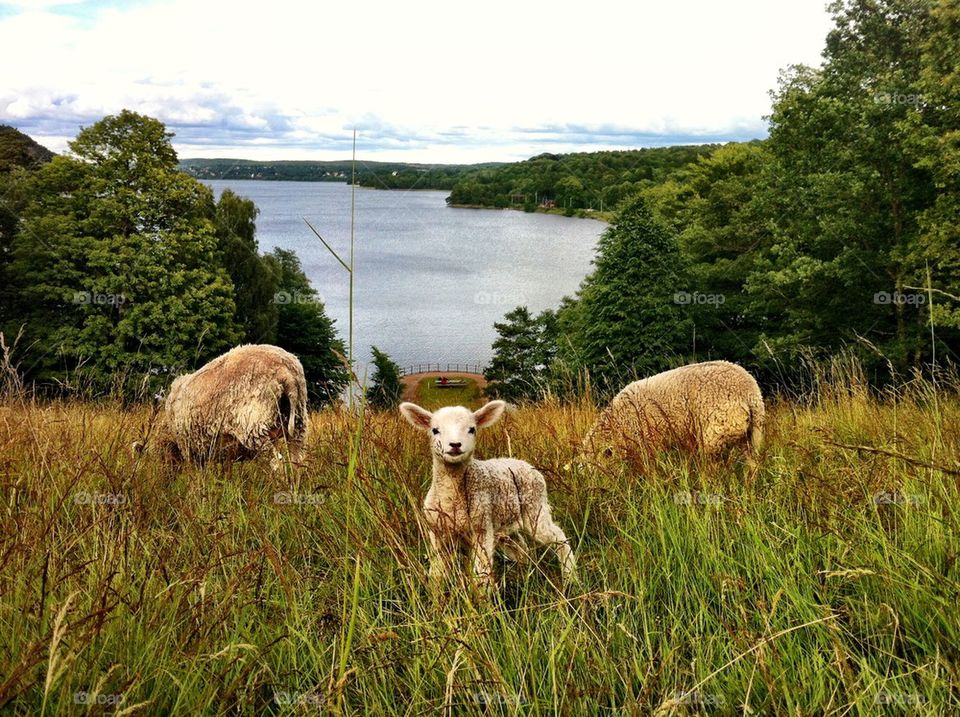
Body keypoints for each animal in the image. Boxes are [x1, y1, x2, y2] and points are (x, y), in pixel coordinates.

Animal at [154, 344, 309, 469]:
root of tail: (285, 372)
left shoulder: (188, 448)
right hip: (298, 423)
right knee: (296, 461)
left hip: (253, 426)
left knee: (276, 461)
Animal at [399, 400, 577, 591]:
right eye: (435, 430)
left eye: (472, 429)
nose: (455, 445)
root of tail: (525, 464)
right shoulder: (437, 532)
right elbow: (438, 572)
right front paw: (435, 594)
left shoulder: (481, 529)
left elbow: (481, 573)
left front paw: (481, 597)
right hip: (505, 524)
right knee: (520, 548)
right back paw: (525, 573)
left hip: (535, 510)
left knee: (558, 537)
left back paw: (570, 576)